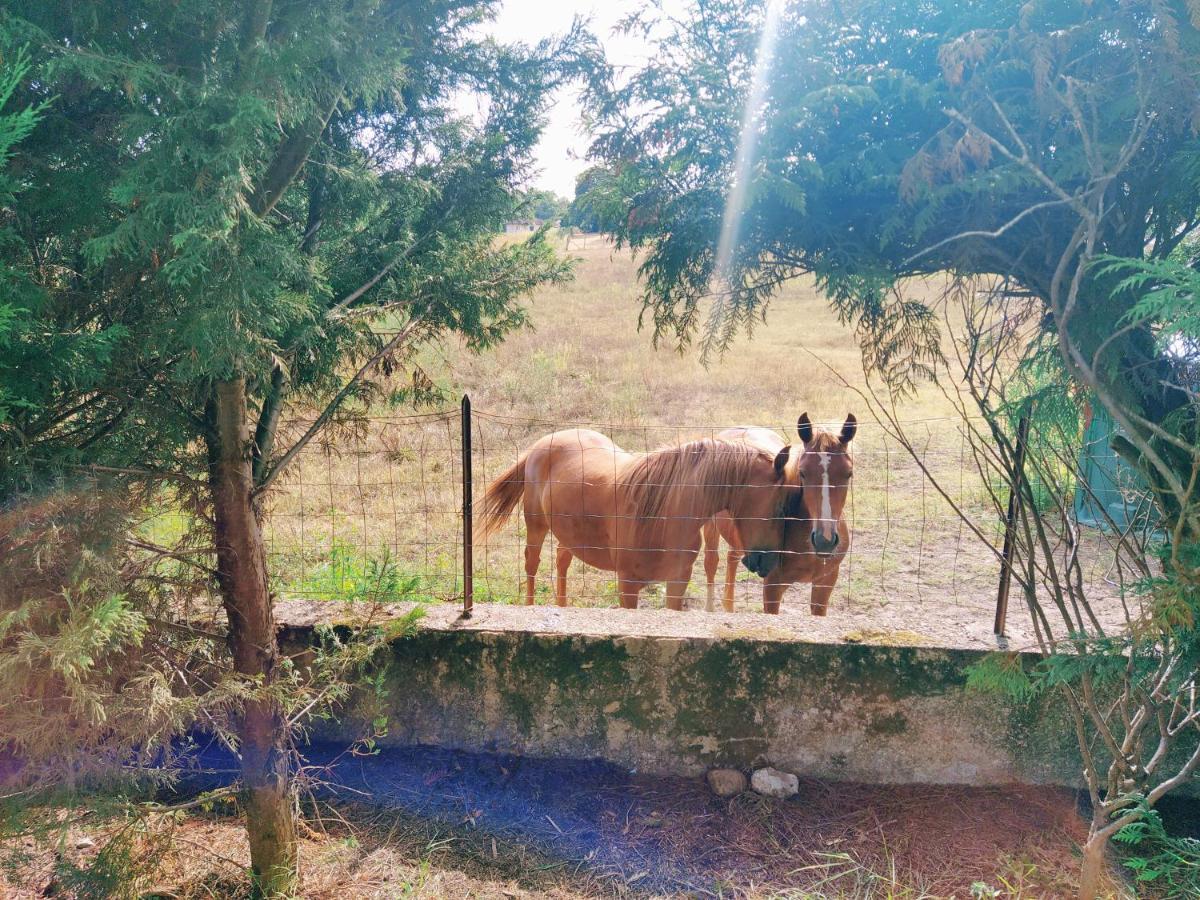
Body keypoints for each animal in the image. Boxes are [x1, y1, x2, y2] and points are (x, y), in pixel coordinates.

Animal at [472, 429, 801, 614]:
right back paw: (529, 606)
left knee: (563, 559)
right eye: (782, 505)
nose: (767, 563)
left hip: (568, 534)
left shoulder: (676, 582)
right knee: (532, 563)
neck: (663, 513)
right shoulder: (628, 584)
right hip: (536, 525)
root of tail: (543, 443)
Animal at [700, 412, 859, 619]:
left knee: (732, 558)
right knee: (711, 563)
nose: (825, 541)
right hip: (710, 528)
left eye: (849, 473)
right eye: (803, 472)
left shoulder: (825, 583)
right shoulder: (772, 586)